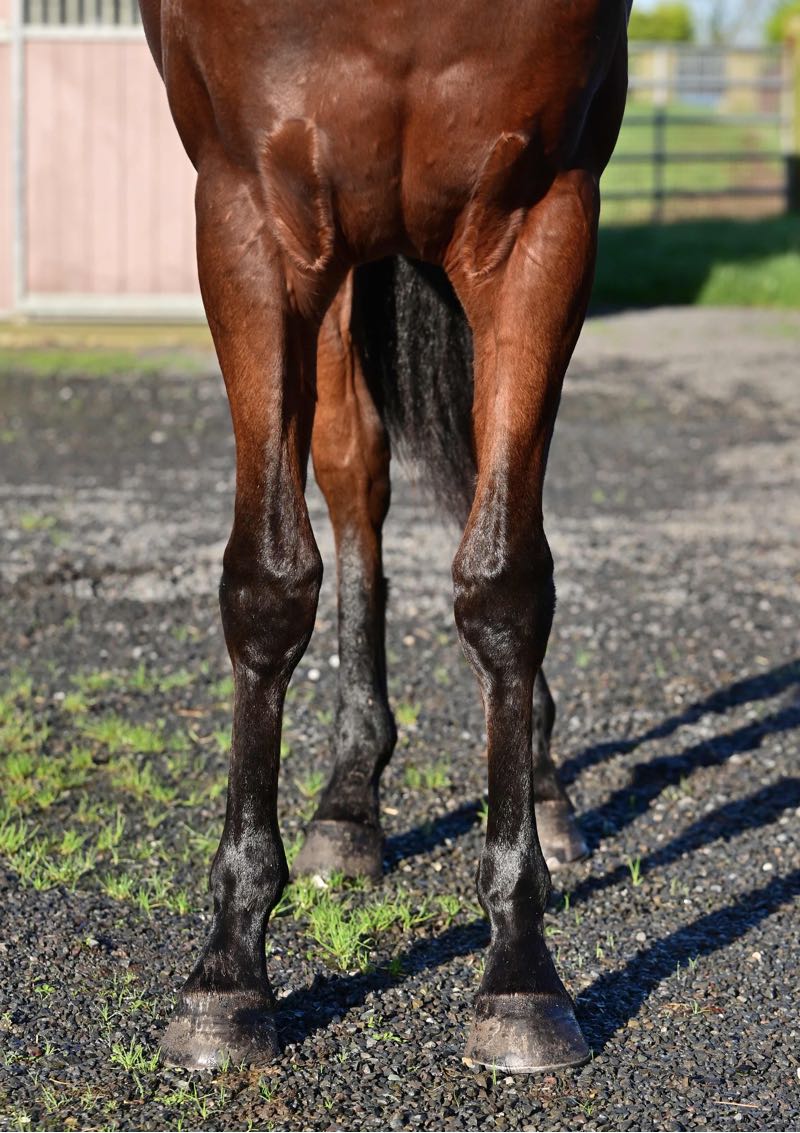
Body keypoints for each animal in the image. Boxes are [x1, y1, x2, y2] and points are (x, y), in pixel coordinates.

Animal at [138, 0, 630, 1074]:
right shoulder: (248, 211)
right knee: (353, 475)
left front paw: (522, 969)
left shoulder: (545, 216)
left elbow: (505, 582)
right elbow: (270, 583)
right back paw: (348, 801)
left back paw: (543, 788)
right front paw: (228, 969)